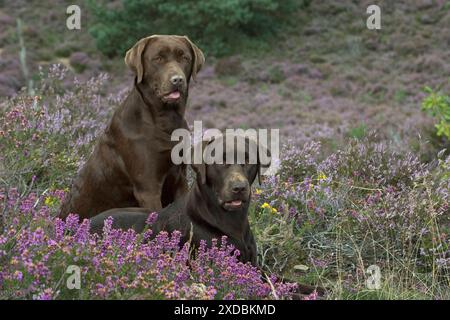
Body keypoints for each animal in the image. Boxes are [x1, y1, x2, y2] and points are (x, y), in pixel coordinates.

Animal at [59, 35, 206, 220]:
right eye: (158, 58)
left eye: (184, 58)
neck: (165, 119)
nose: (177, 80)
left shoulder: (180, 179)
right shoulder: (148, 188)